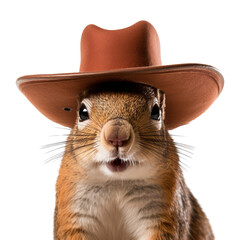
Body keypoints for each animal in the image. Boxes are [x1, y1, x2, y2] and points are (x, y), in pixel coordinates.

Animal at [53, 81, 214, 239]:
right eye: (82, 112)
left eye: (156, 112)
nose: (117, 136)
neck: (117, 183)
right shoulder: (73, 207)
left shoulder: (164, 210)